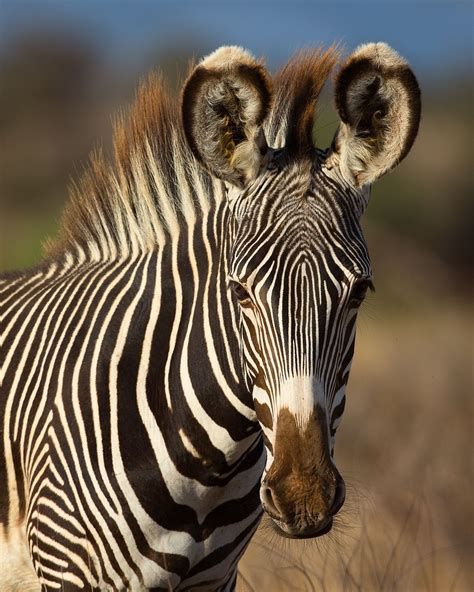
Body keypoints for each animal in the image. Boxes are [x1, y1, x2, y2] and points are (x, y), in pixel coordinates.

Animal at [1, 42, 420, 592]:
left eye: (358, 293)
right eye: (239, 292)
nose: (303, 496)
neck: (207, 474)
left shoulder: (216, 580)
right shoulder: (66, 566)